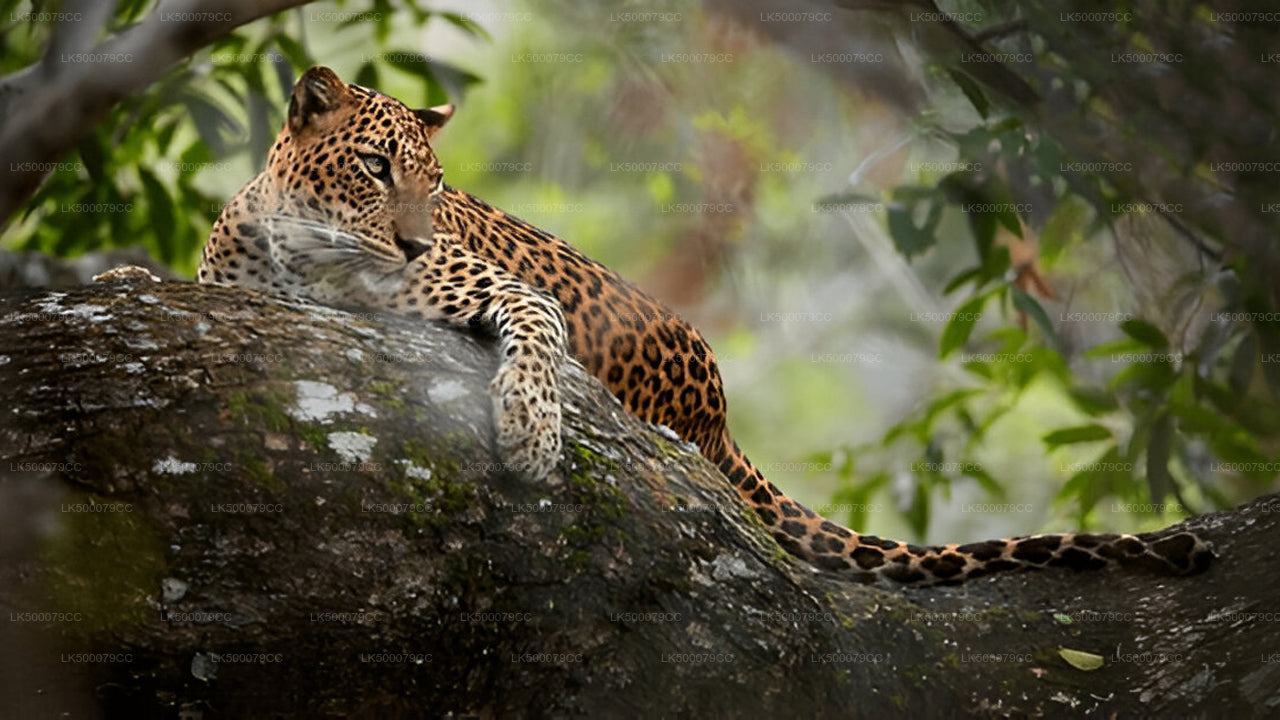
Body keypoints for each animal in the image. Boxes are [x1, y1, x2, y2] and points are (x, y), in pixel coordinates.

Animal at [197, 66, 1215, 586]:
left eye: (434, 184)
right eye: (374, 167)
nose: (412, 243)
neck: (301, 249)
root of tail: (720, 417)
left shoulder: (506, 290)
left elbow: (534, 342)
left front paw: (529, 433)